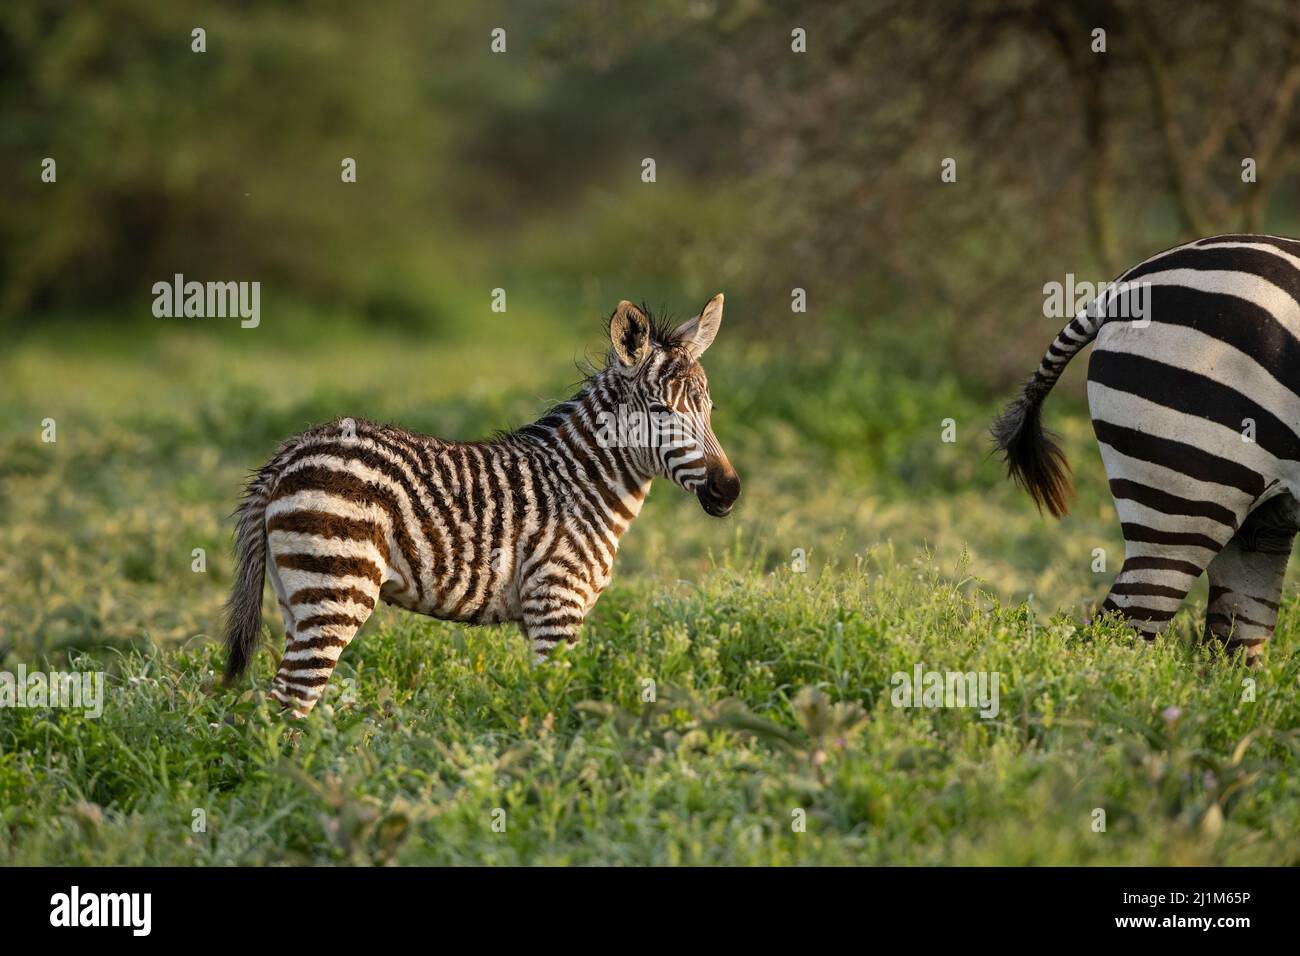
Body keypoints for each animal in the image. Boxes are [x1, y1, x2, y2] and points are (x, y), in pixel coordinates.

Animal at [223, 295, 743, 712]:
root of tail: (291, 451)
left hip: (297, 594)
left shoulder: (540, 611)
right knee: (291, 698)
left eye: (710, 409)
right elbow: (559, 705)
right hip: (336, 583)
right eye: (661, 411)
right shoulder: (556, 600)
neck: (582, 484)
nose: (729, 490)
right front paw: (561, 764)